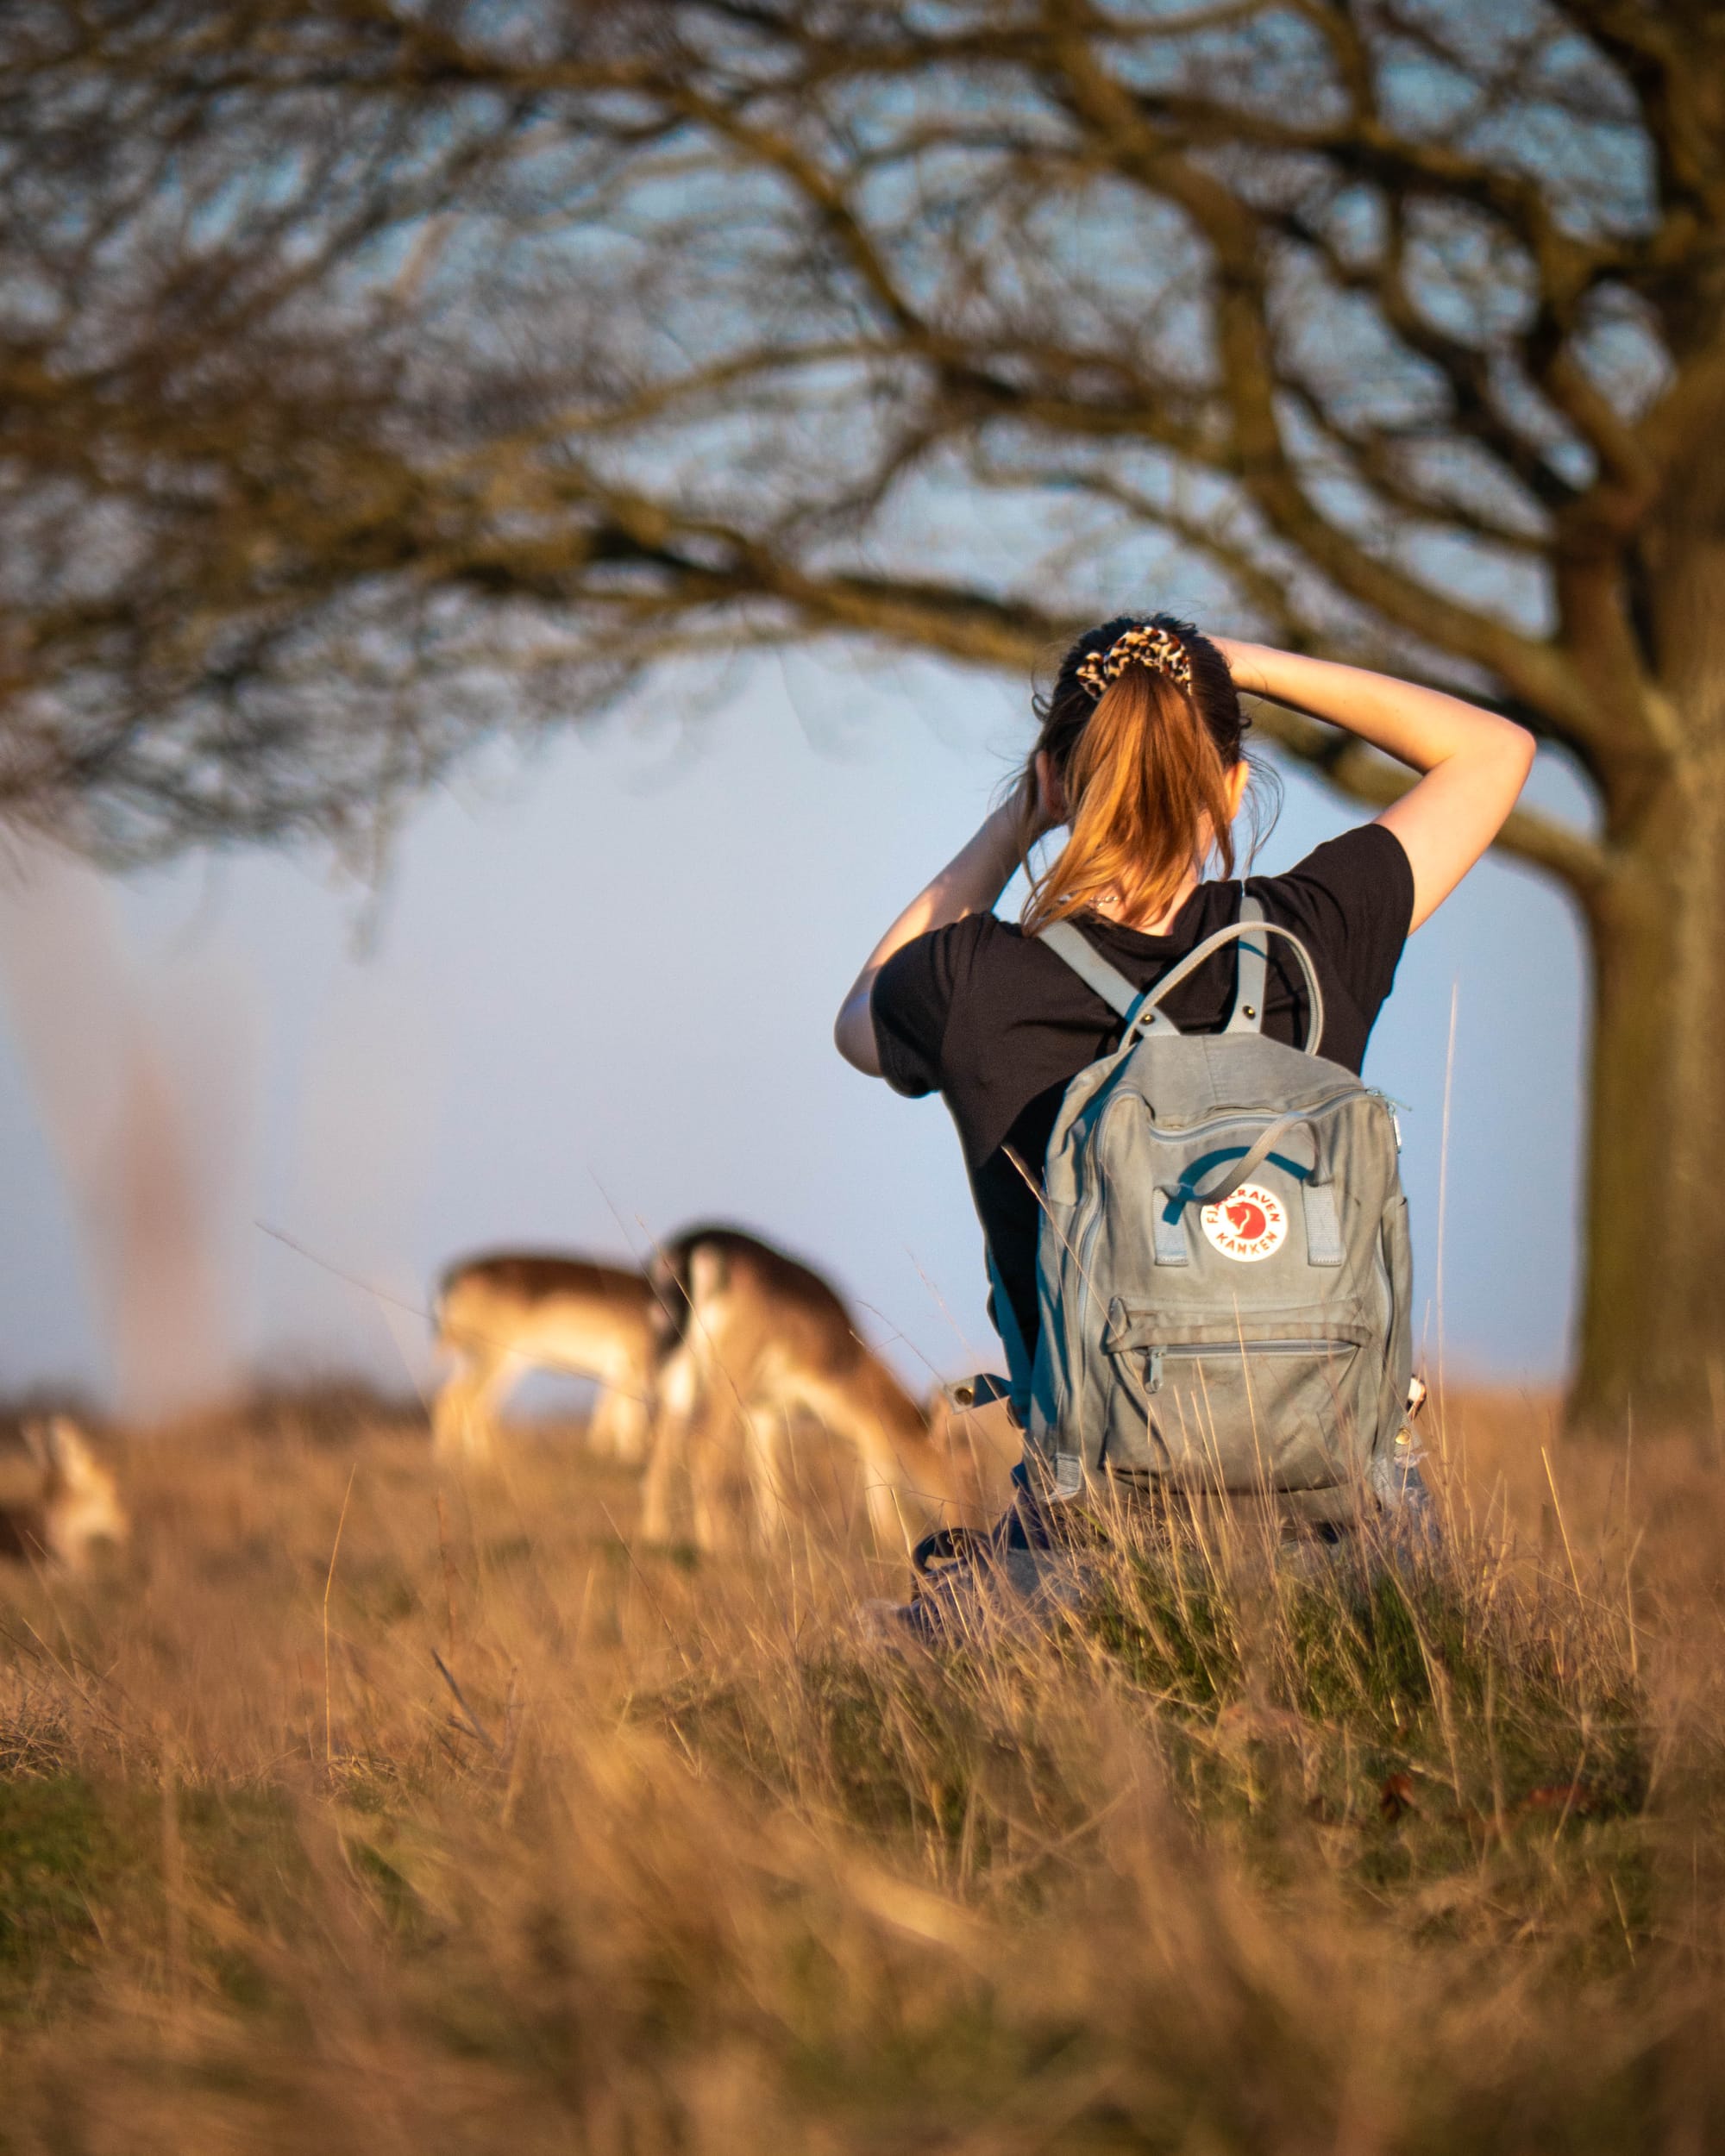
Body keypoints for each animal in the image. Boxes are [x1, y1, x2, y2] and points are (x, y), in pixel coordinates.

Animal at [431, 1250, 660, 1466]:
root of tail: (457, 1277)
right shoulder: (633, 1365)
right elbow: (627, 1414)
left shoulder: (619, 1371)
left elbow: (618, 1413)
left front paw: (620, 1455)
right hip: (497, 1360)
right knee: (465, 1401)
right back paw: (477, 1461)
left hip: (476, 1361)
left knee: (452, 1398)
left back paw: (449, 1456)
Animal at [638, 1233, 1005, 1552]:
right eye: (968, 1469)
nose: (973, 1527)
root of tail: (691, 1251)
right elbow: (877, 1486)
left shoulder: (764, 1410)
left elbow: (769, 1478)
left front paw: (768, 1548)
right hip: (731, 1369)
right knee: (701, 1443)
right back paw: (717, 1545)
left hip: (677, 1364)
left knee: (663, 1441)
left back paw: (656, 1535)